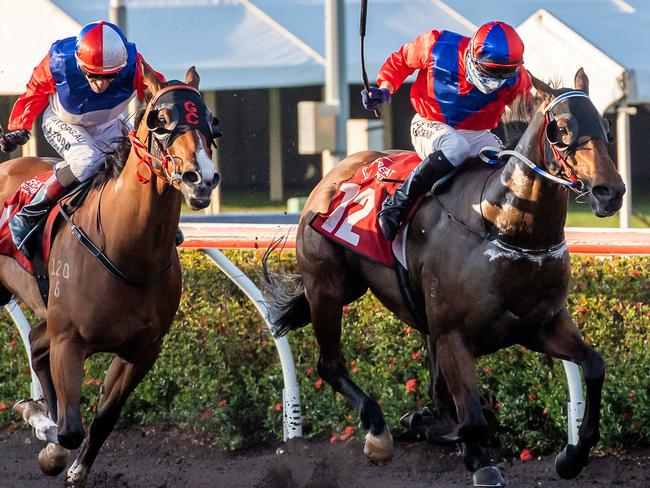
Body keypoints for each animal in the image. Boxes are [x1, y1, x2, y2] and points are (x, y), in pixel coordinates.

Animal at [0, 66, 219, 488]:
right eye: (160, 121)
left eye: (211, 121)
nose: (200, 178)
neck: (127, 250)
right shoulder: (69, 340)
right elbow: (70, 430)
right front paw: (47, 437)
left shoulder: (143, 349)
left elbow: (104, 418)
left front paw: (72, 465)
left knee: (35, 342)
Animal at [262, 70, 624, 486]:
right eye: (561, 129)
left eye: (606, 126)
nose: (610, 192)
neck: (502, 225)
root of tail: (337, 172)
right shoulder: (453, 334)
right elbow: (471, 419)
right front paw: (463, 450)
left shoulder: (540, 326)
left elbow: (594, 367)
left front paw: (572, 457)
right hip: (327, 288)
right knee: (330, 365)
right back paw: (378, 433)